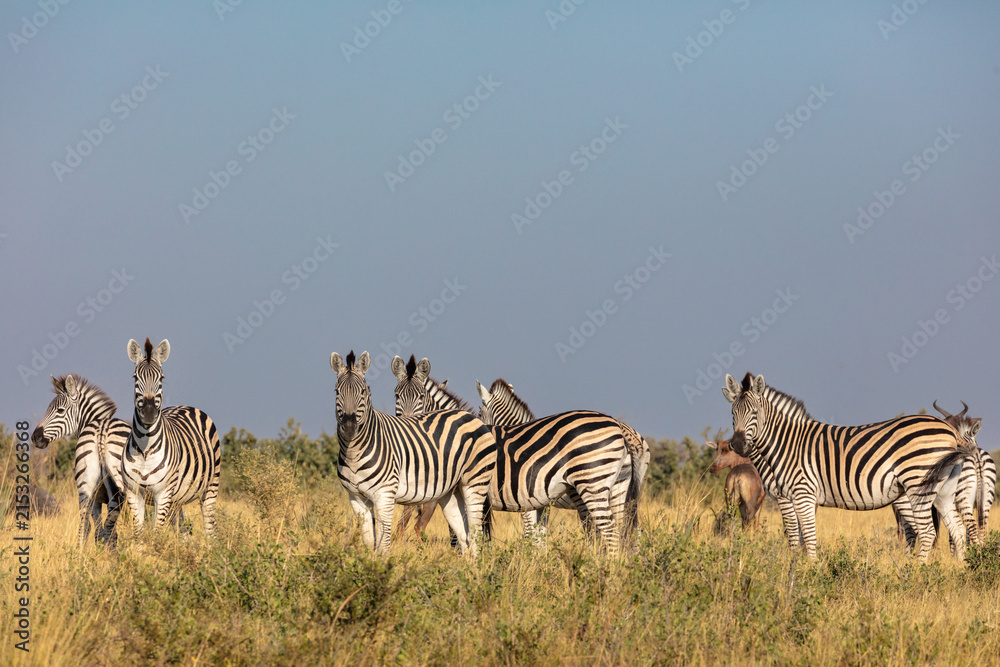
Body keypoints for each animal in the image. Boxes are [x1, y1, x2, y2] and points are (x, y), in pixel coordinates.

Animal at [121, 338, 221, 537]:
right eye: (135, 377)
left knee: (210, 529)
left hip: (210, 488)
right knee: (183, 529)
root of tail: (186, 406)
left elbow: (156, 535)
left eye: (161, 378)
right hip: (178, 499)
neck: (145, 450)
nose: (149, 413)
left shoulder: (163, 493)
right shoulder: (133, 493)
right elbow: (139, 534)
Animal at [331, 350, 497, 555]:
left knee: (475, 535)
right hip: (450, 491)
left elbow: (383, 545)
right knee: (464, 536)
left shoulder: (385, 494)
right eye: (337, 392)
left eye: (363, 392)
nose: (349, 427)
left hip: (475, 482)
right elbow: (369, 543)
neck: (354, 452)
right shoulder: (356, 498)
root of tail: (471, 417)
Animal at [474, 380, 642, 556]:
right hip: (620, 488)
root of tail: (624, 434)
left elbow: (528, 533)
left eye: (479, 415)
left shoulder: (524, 503)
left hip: (595, 486)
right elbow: (539, 536)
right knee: (627, 529)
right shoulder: (540, 502)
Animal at [722, 372, 978, 561]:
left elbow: (805, 536)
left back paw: (916, 573)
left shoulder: (799, 495)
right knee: (957, 529)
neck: (787, 443)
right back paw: (959, 572)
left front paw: (807, 572)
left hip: (918, 484)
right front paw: (797, 567)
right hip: (943, 489)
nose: (738, 444)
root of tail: (951, 430)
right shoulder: (795, 497)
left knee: (927, 532)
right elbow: (798, 537)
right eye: (733, 413)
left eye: (754, 413)